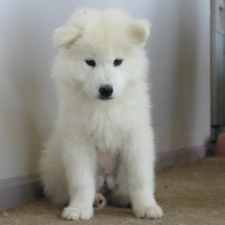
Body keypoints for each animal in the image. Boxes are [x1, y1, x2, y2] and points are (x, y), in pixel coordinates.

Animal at [39, 7, 163, 221]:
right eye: (90, 62)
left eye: (118, 61)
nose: (106, 90)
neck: (104, 108)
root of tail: (106, 183)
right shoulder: (78, 143)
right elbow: (81, 182)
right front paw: (79, 209)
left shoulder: (136, 140)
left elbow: (140, 179)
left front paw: (147, 207)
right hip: (55, 164)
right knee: (68, 191)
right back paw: (97, 199)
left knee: (120, 191)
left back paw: (125, 198)